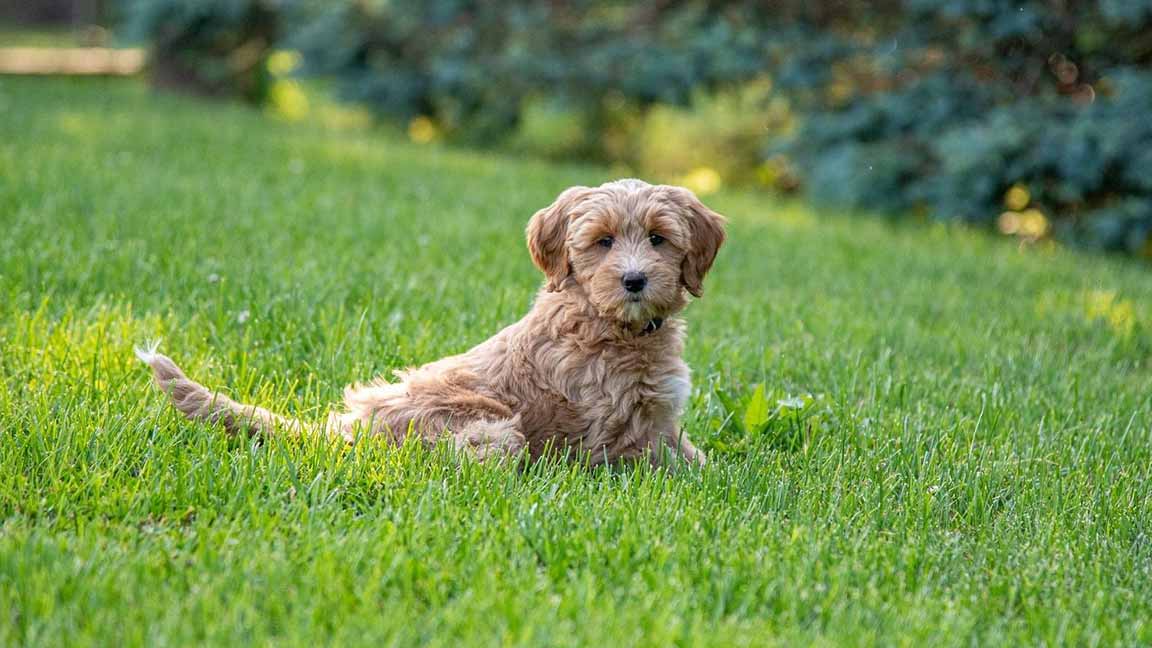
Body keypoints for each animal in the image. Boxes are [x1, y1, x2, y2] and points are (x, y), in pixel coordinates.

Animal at [139, 177, 723, 463]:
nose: (634, 280)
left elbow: (696, 457)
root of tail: (344, 430)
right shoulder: (619, 433)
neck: (613, 326)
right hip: (493, 430)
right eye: (603, 242)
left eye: (658, 239)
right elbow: (671, 468)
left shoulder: (661, 423)